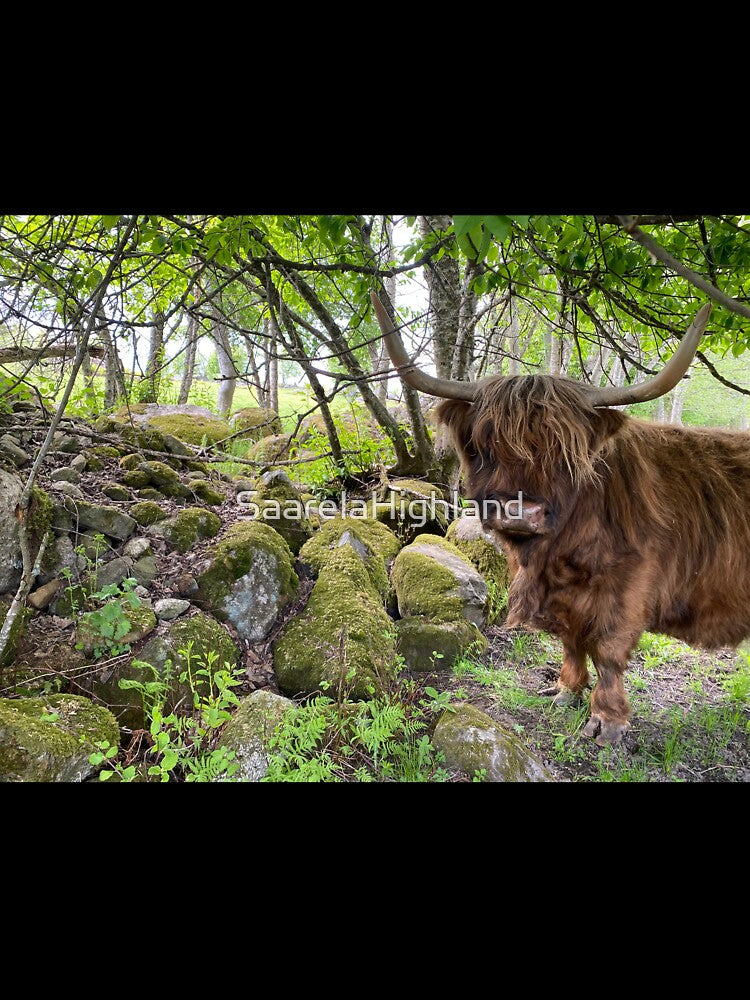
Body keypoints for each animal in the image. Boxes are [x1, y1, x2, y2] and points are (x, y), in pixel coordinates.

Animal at [371, 291, 750, 746]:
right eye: (483, 447)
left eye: (566, 455)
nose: (519, 511)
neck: (556, 555)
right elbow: (571, 640)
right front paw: (566, 690)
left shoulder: (630, 587)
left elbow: (607, 650)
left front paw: (607, 722)